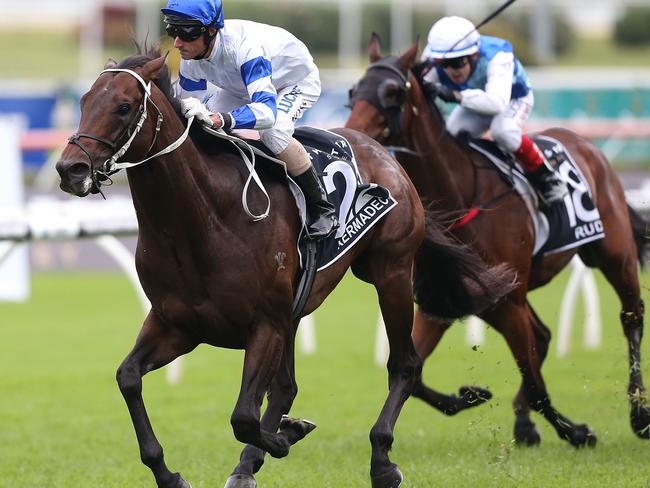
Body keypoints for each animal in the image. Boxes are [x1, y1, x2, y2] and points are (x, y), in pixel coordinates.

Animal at [55, 48, 512, 488]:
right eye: (84, 101)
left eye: (124, 106)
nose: (69, 168)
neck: (203, 221)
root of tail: (382, 151)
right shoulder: (179, 325)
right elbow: (128, 377)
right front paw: (171, 474)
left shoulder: (265, 323)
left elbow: (243, 416)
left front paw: (285, 436)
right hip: (298, 310)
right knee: (288, 387)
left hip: (391, 271)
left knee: (405, 365)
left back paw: (382, 461)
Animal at [344, 36, 648, 448]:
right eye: (354, 90)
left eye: (393, 92)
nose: (350, 133)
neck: (461, 194)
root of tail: (587, 145)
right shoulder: (444, 299)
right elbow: (417, 373)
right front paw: (471, 396)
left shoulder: (505, 299)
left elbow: (535, 382)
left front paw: (576, 431)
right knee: (543, 336)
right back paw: (525, 422)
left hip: (613, 254)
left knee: (631, 317)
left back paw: (639, 414)